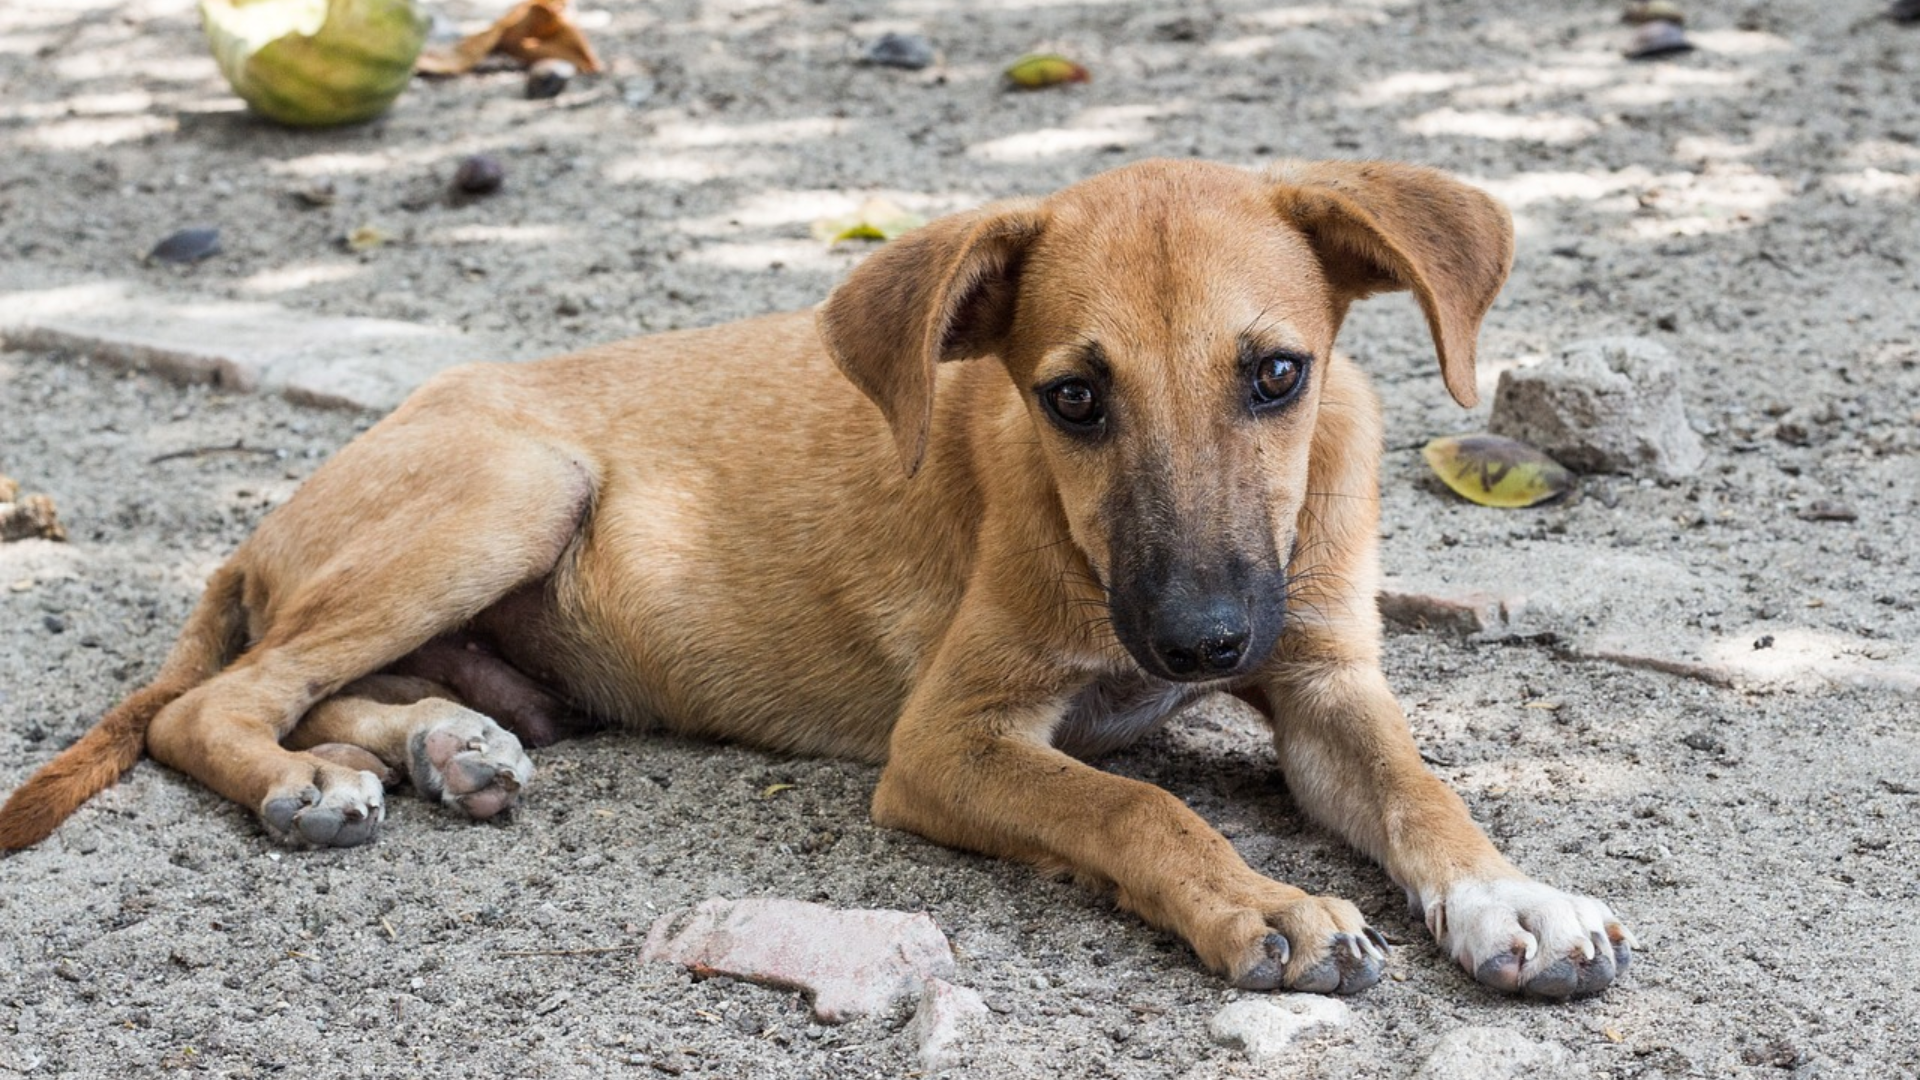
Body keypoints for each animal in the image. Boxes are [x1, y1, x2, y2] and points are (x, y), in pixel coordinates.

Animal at [0, 157, 1635, 991]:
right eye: (1073, 399)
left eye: (1279, 374)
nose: (1202, 641)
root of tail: (261, 524)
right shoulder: (949, 744)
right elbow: (1136, 804)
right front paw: (1266, 907)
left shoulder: (1326, 684)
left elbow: (1424, 791)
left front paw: (1516, 899)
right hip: (515, 486)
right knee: (214, 704)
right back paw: (304, 781)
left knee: (347, 688)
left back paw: (444, 746)